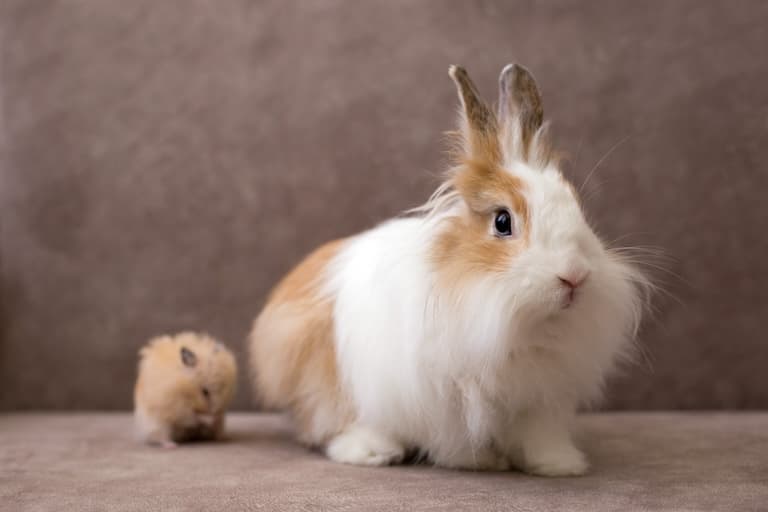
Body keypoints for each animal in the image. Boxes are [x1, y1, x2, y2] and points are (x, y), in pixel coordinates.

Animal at [248, 64, 648, 476]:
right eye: (502, 221)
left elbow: (539, 436)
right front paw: (482, 461)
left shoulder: (538, 400)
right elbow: (457, 439)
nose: (574, 277)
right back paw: (372, 452)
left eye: (577, 210)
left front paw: (558, 464)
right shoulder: (448, 400)